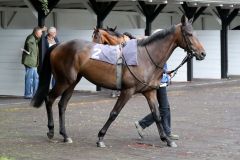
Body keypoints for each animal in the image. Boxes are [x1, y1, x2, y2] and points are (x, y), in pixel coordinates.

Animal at [31, 15, 205, 148]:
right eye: (189, 34)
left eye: (195, 33)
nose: (202, 53)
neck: (145, 56)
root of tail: (58, 45)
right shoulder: (127, 91)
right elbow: (114, 113)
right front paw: (100, 138)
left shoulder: (149, 91)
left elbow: (157, 115)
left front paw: (167, 140)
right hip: (63, 81)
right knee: (49, 99)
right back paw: (51, 131)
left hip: (72, 82)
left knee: (62, 104)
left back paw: (65, 135)